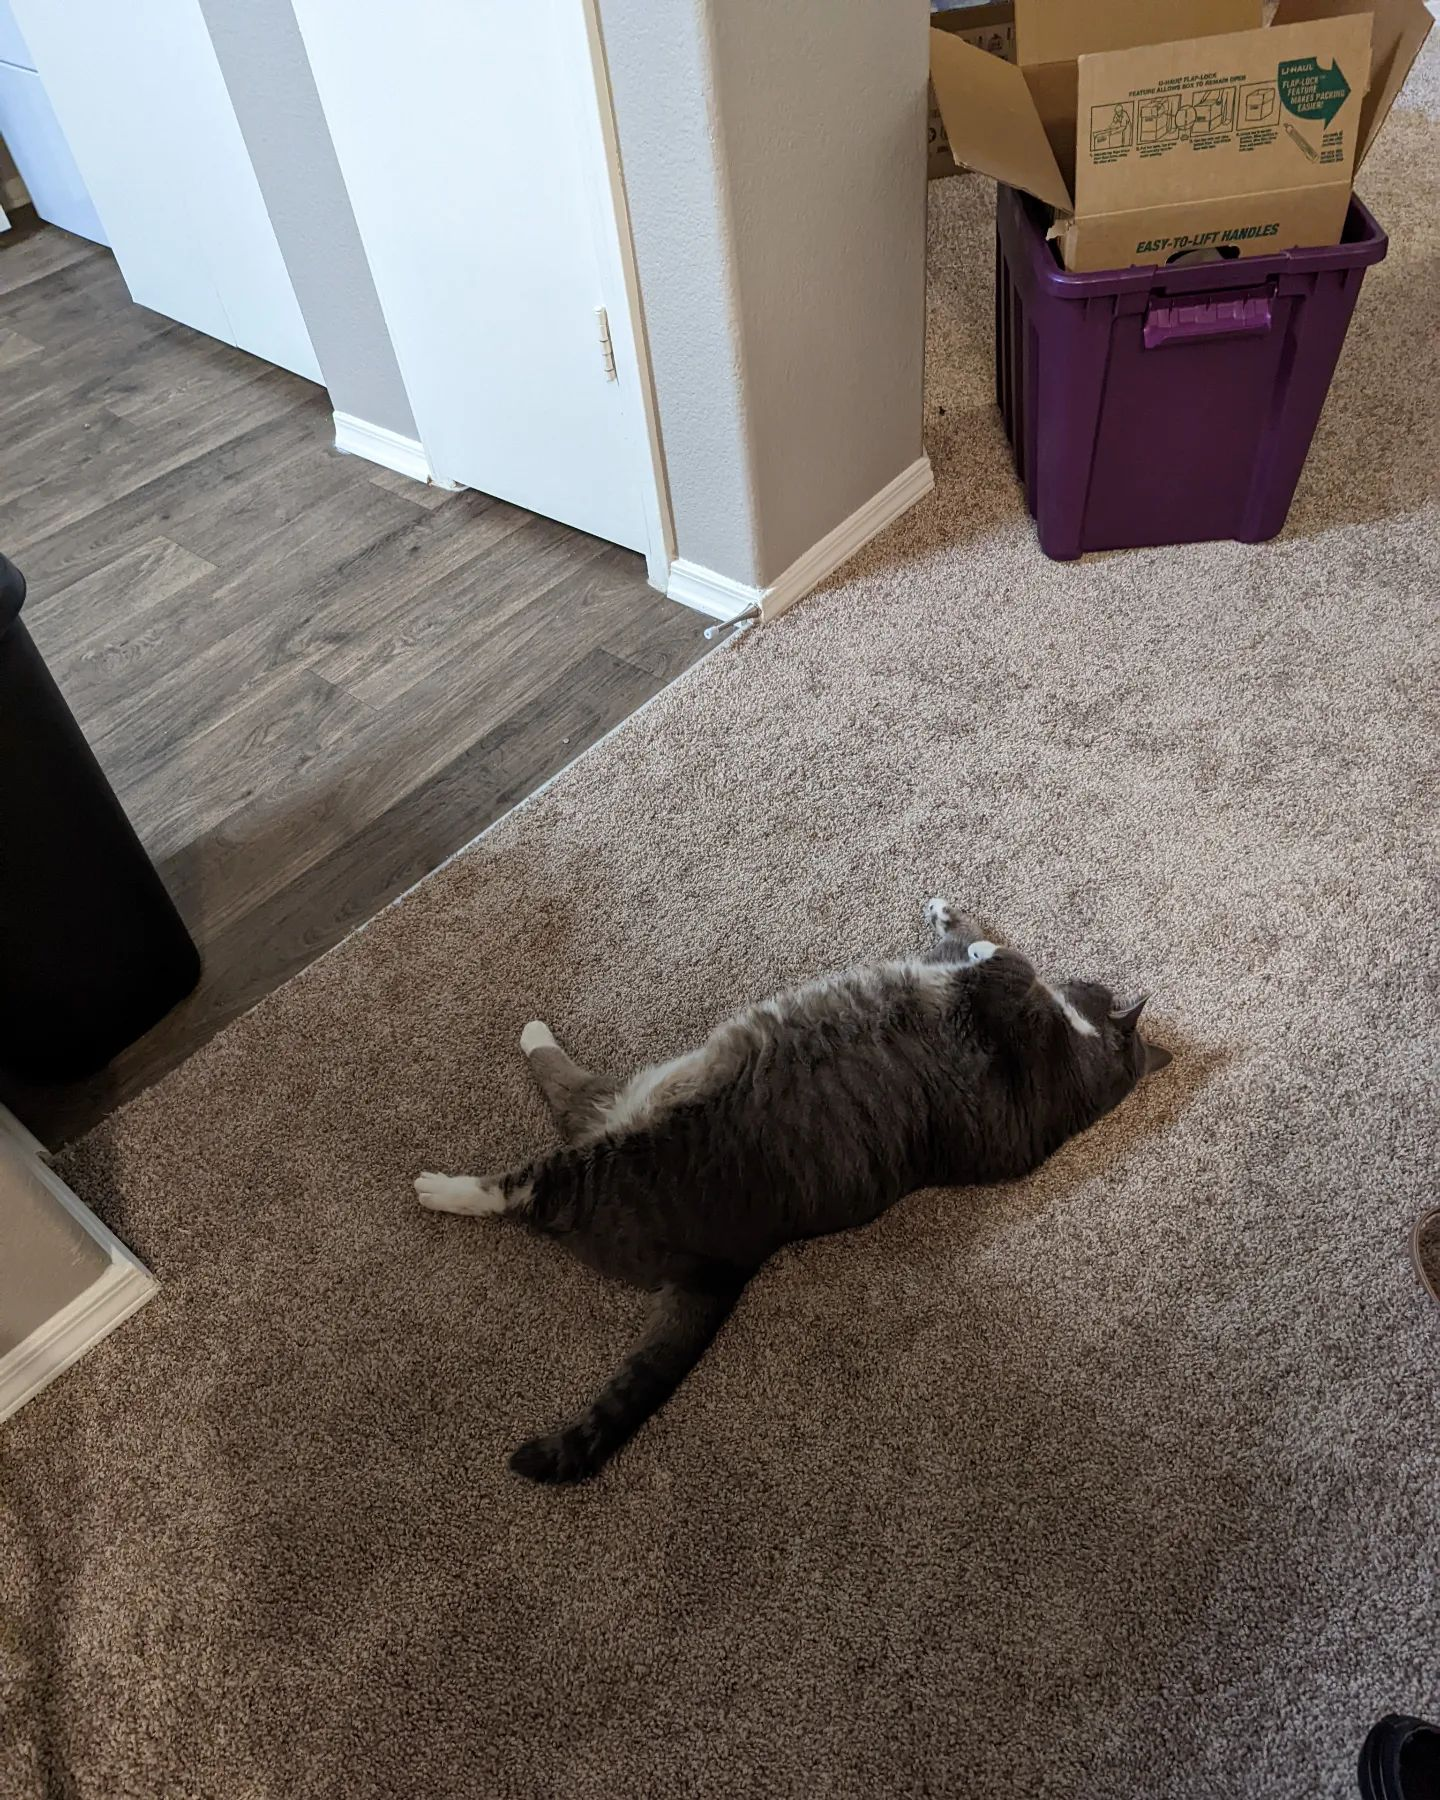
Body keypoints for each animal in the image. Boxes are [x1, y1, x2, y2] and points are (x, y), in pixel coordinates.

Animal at [415, 897, 1173, 1484]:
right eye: (1096, 982)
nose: (1086, 978)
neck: (1078, 1080)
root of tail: (724, 1266)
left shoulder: (1001, 997)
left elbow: (1004, 955)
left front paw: (976, 935)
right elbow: (974, 940)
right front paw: (947, 911)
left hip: (610, 1159)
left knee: (527, 1183)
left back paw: (440, 1183)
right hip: (631, 1103)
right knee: (568, 1090)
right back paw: (534, 1032)